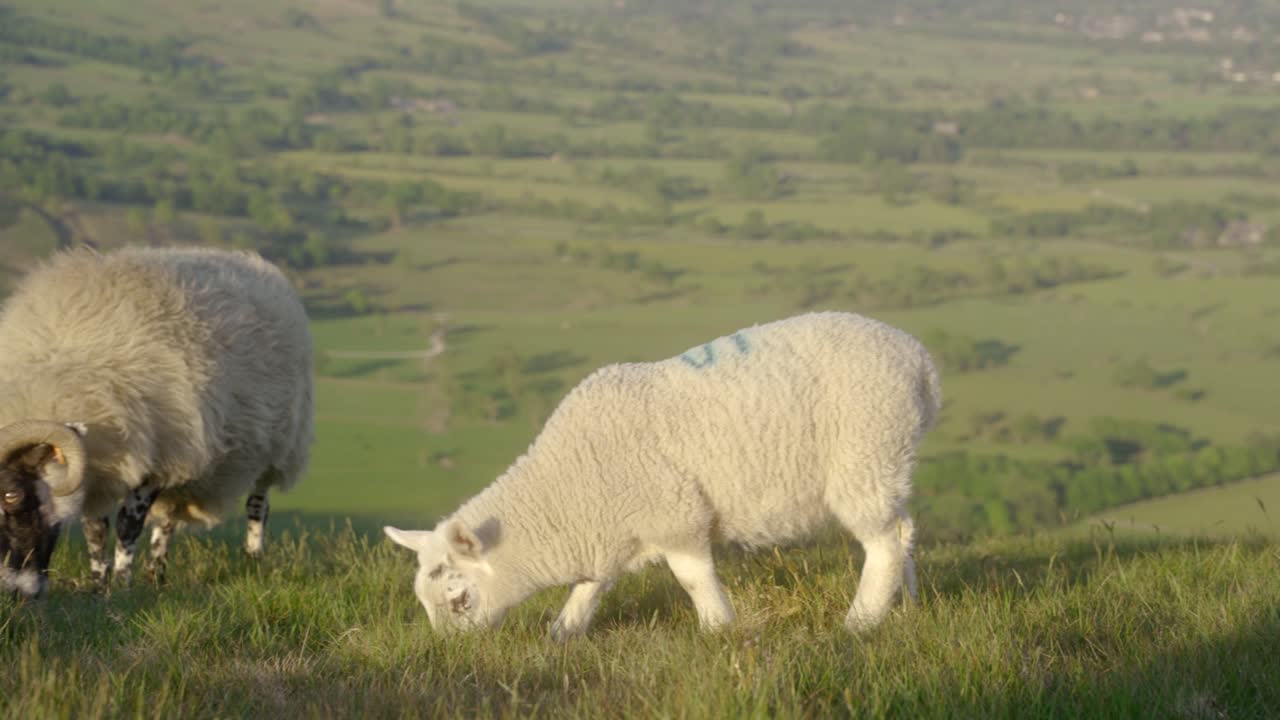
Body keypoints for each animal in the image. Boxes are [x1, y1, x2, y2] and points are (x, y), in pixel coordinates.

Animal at [0, 246, 313, 597]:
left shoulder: (153, 461)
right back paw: (156, 574)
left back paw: (253, 559)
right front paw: (98, 585)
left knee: (258, 505)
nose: (13, 590)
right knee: (169, 518)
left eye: (11, 495)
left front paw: (121, 585)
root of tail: (253, 262)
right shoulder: (102, 470)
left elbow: (127, 526)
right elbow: (95, 530)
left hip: (279, 444)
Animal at [385, 311, 941, 637]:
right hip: (889, 459)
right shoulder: (613, 529)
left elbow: (692, 579)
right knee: (904, 531)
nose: (453, 652)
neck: (566, 491)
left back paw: (860, 623)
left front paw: (720, 630)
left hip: (864, 451)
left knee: (883, 544)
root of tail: (920, 361)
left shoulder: (674, 513)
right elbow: (589, 588)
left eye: (459, 599)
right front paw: (562, 635)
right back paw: (906, 607)